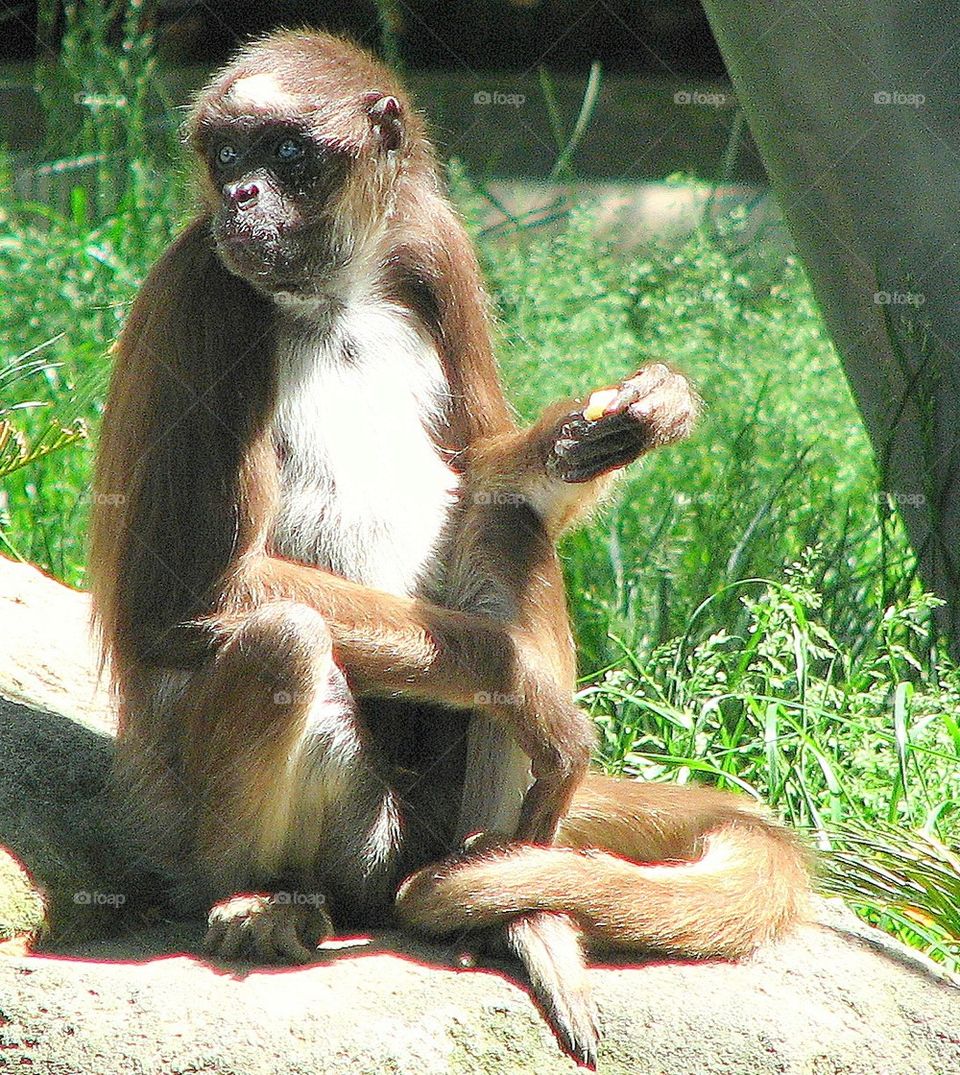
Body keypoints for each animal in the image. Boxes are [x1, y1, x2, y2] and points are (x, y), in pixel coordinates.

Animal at [89, 29, 808, 1070]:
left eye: (288, 154)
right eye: (226, 157)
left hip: (434, 811)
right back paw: (261, 896)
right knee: (285, 639)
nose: (242, 195)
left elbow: (486, 469)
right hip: (293, 831)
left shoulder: (432, 247)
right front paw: (530, 684)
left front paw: (627, 418)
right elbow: (182, 595)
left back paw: (516, 914)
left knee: (505, 522)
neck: (334, 299)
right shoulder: (208, 289)